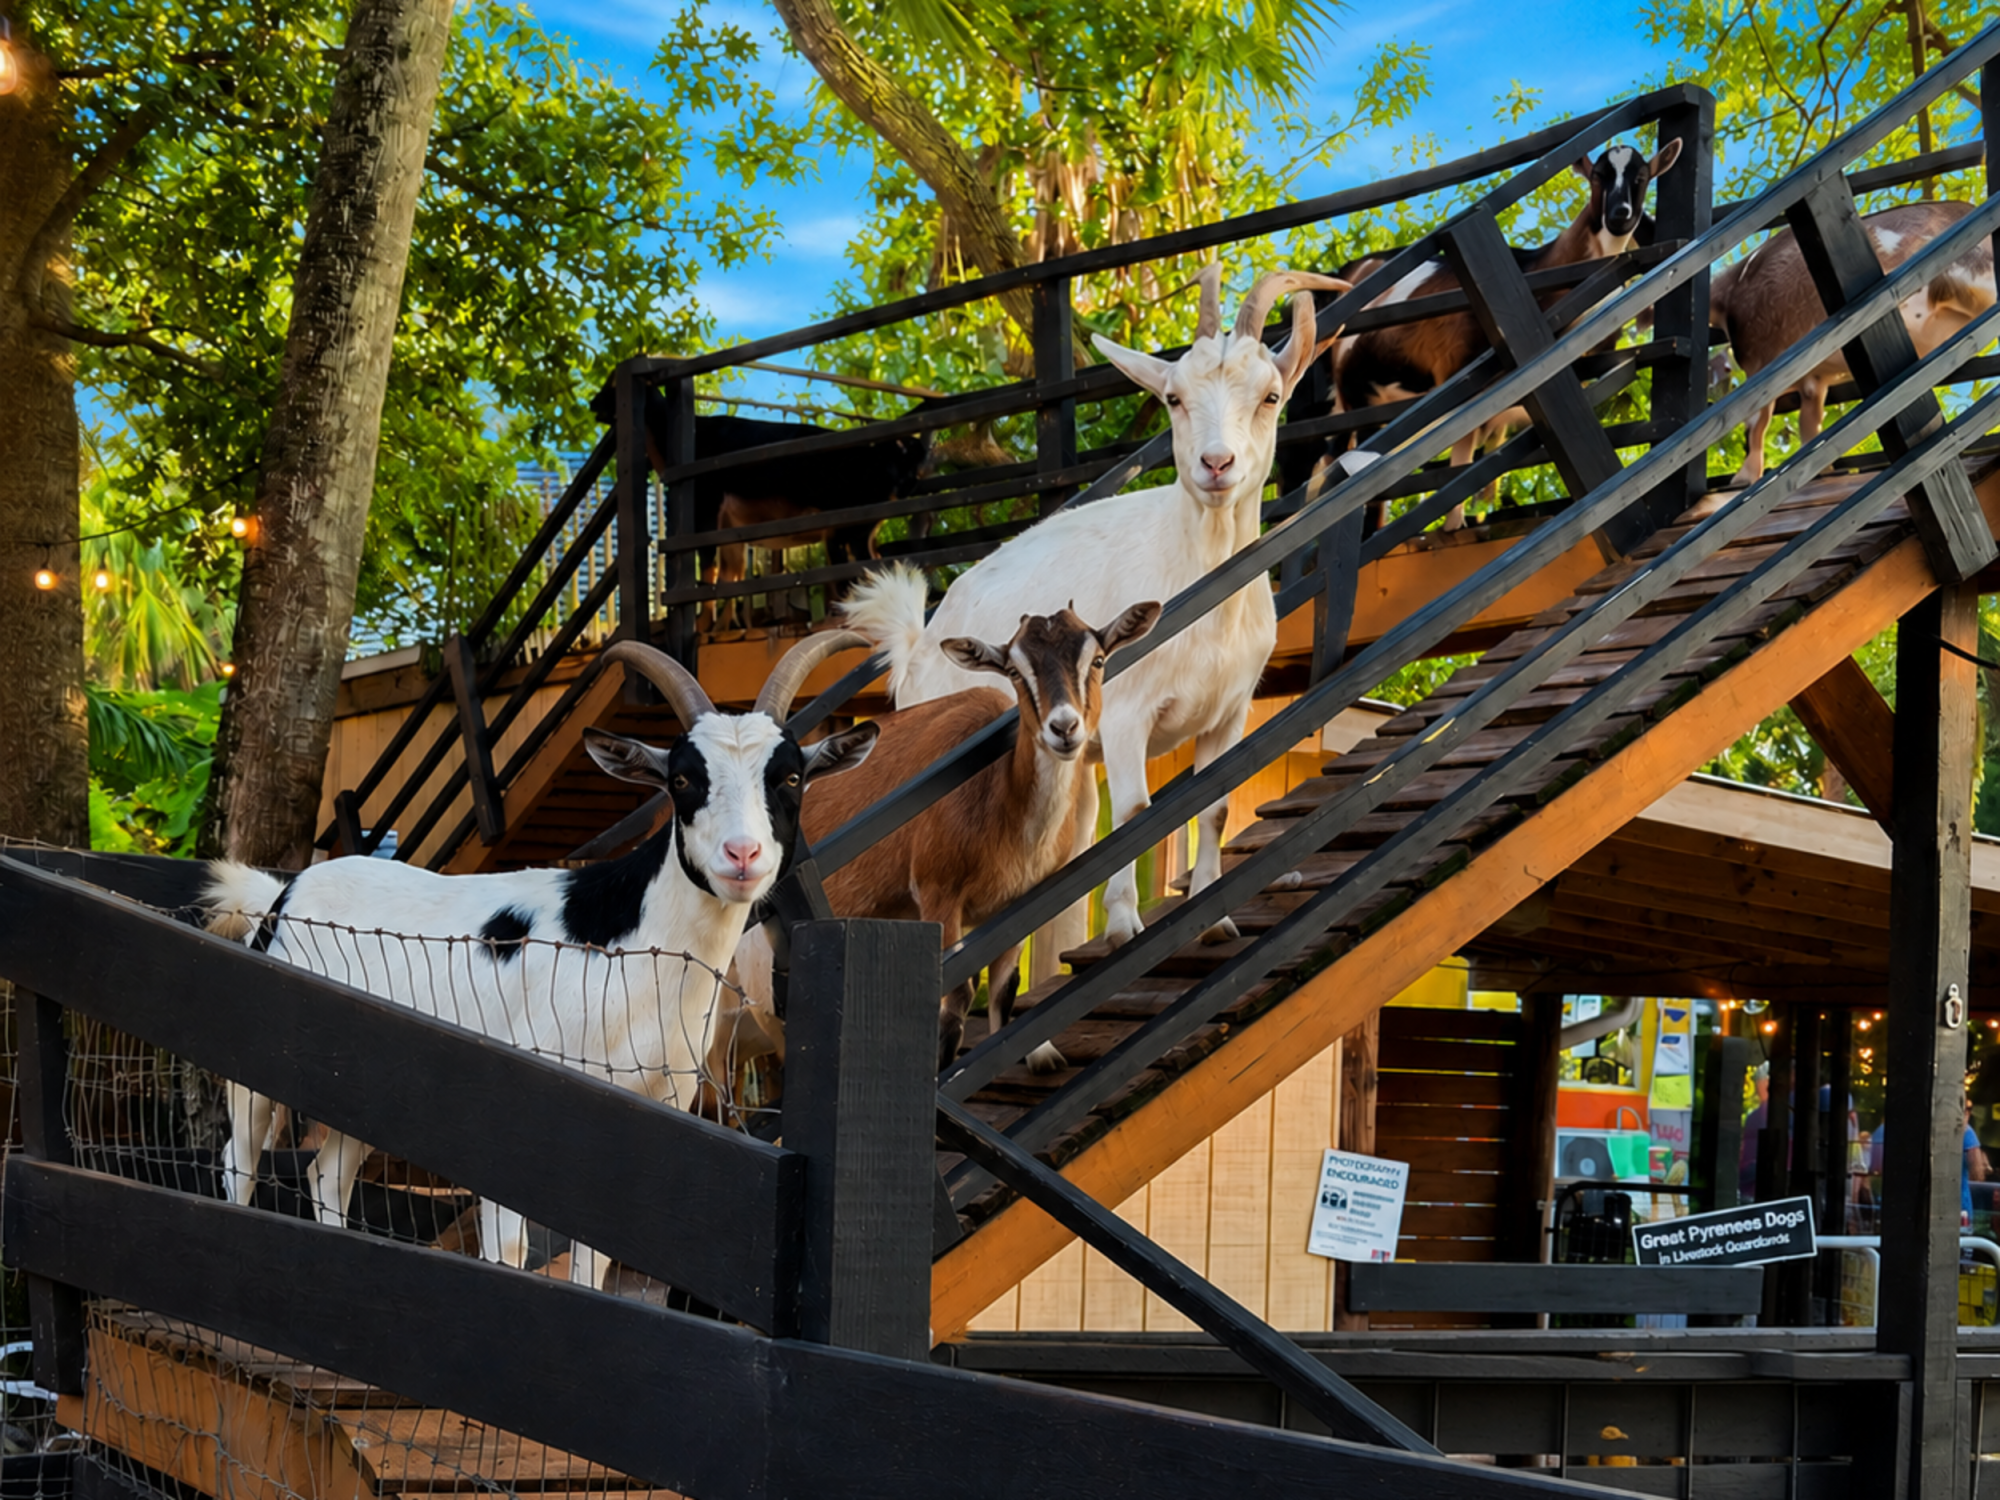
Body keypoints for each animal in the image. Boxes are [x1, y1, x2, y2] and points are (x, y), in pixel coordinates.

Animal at [203, 633, 877, 1290]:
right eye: (683, 779)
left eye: (791, 778)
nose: (743, 855)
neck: (622, 940)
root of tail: (281, 896)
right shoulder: (525, 1107)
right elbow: (509, 1247)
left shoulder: (658, 1106)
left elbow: (595, 1259)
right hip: (255, 1066)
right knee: (241, 1163)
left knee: (329, 1175)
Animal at [723, 565, 1160, 1079]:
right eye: (1015, 670)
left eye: (1097, 660)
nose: (1064, 728)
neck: (1001, 801)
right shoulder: (937, 893)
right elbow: (955, 999)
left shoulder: (1016, 903)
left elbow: (1003, 989)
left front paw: (1037, 1056)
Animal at [858, 267, 1347, 956]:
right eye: (1173, 399)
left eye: (1271, 396)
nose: (1216, 464)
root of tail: (918, 642)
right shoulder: (1125, 714)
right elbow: (1137, 815)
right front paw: (1122, 925)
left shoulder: (1229, 712)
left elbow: (1215, 806)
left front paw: (1212, 917)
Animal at [1306, 140, 1682, 530]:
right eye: (1598, 176)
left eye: (1642, 177)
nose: (1620, 214)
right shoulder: (1458, 374)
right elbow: (1460, 466)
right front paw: (1454, 529)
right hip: (1353, 396)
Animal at [1708, 199, 1991, 492]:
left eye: (1724, 369)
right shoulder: (1814, 381)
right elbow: (1810, 426)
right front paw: (1824, 472)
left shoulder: (1760, 362)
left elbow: (1756, 423)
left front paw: (1741, 481)